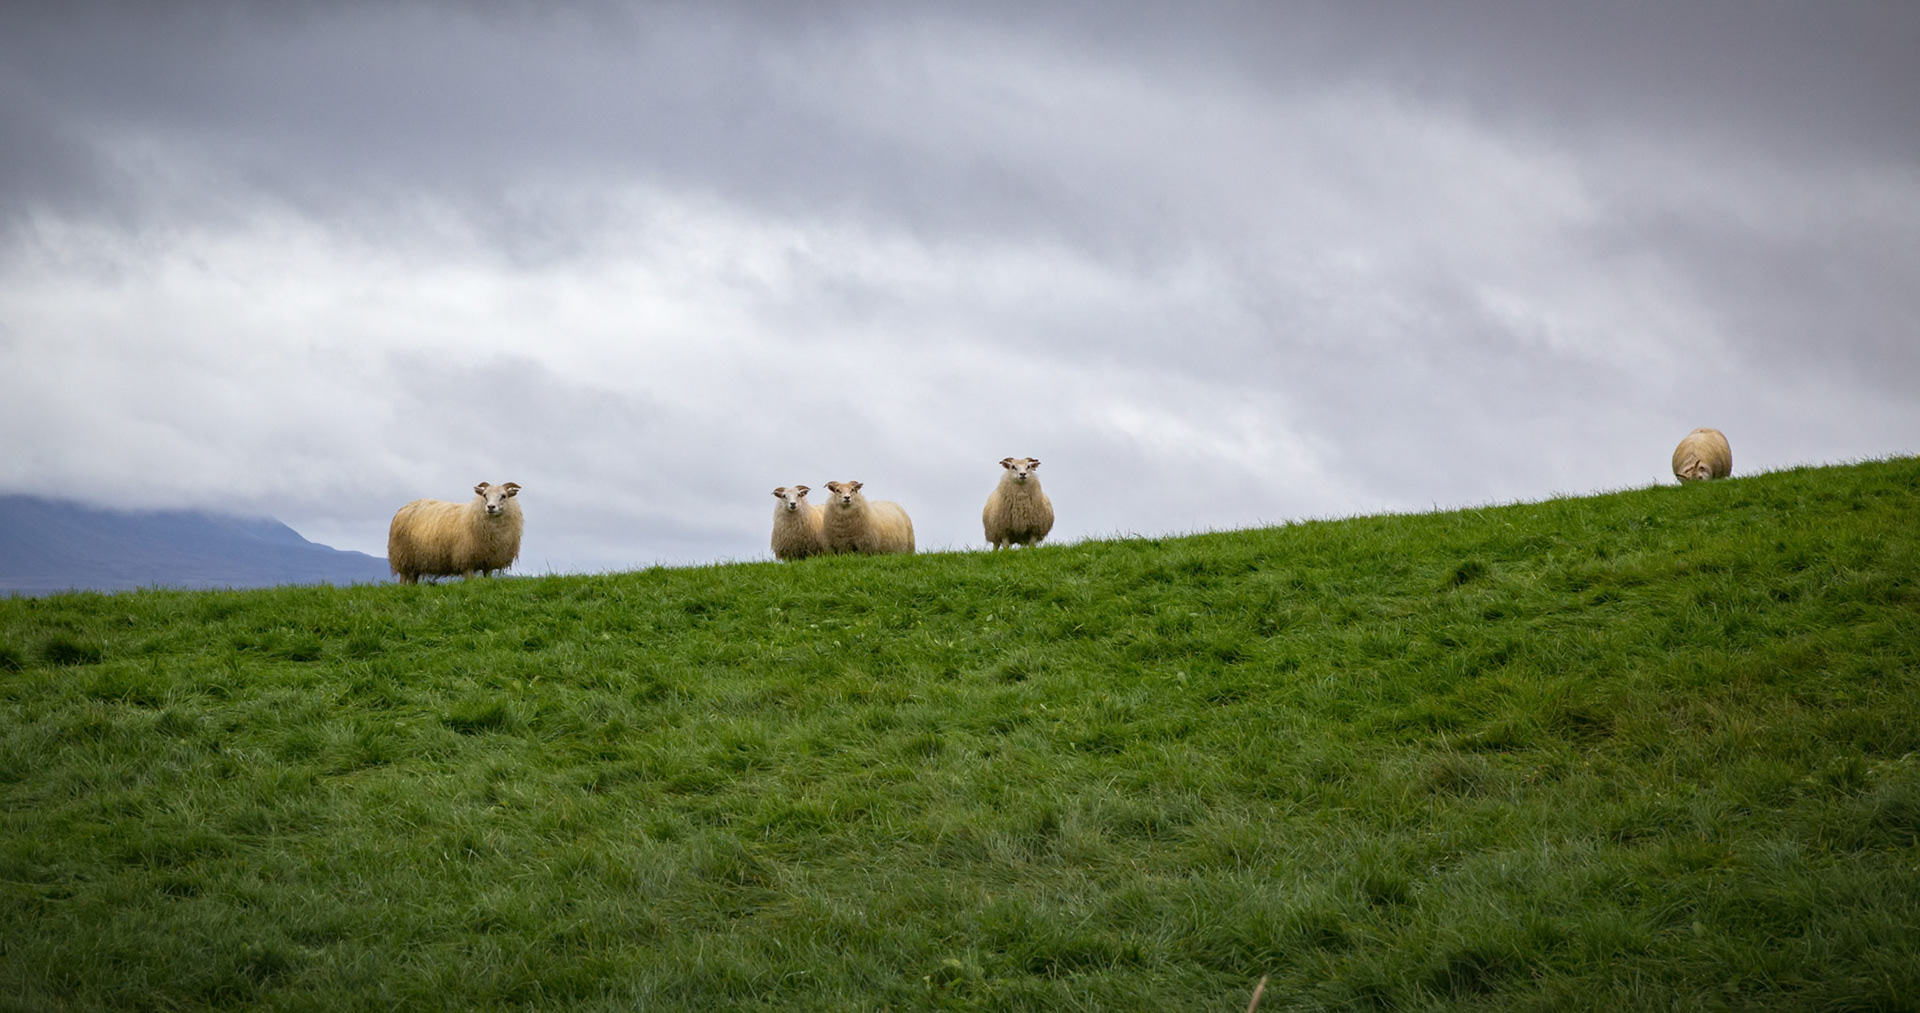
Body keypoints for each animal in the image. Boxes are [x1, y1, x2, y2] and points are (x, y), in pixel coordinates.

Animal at [387, 481, 523, 584]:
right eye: (485, 495)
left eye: (504, 496)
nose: (490, 507)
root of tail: (405, 507)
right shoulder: (466, 560)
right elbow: (470, 581)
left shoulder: (489, 561)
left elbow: (488, 578)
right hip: (402, 555)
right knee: (403, 577)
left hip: (417, 559)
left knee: (413, 579)